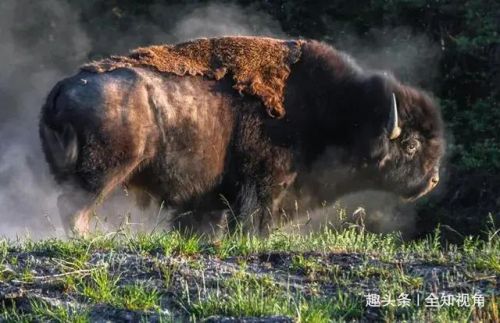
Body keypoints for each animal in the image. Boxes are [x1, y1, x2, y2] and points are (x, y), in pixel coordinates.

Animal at [40, 37, 446, 235]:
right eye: (410, 144)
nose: (433, 180)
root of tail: (62, 86)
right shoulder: (261, 187)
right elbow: (252, 221)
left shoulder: (205, 201)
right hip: (103, 173)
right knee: (73, 206)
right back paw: (87, 238)